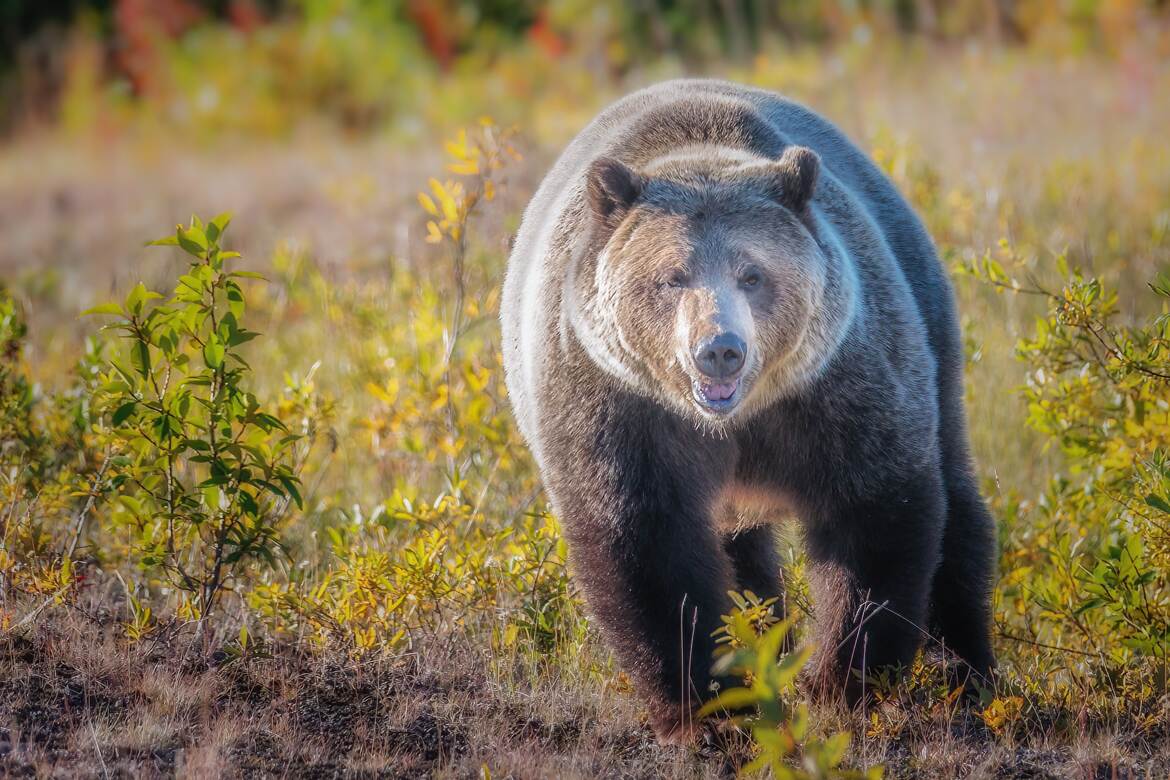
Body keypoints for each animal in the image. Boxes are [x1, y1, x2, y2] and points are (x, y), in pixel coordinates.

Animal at [500, 79, 996, 741]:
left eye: (752, 274)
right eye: (672, 276)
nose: (719, 350)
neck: (736, 421)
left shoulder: (836, 386)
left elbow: (874, 513)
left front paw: (841, 682)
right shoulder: (617, 405)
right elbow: (645, 543)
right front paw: (704, 706)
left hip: (925, 307)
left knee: (957, 505)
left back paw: (968, 674)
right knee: (743, 561)